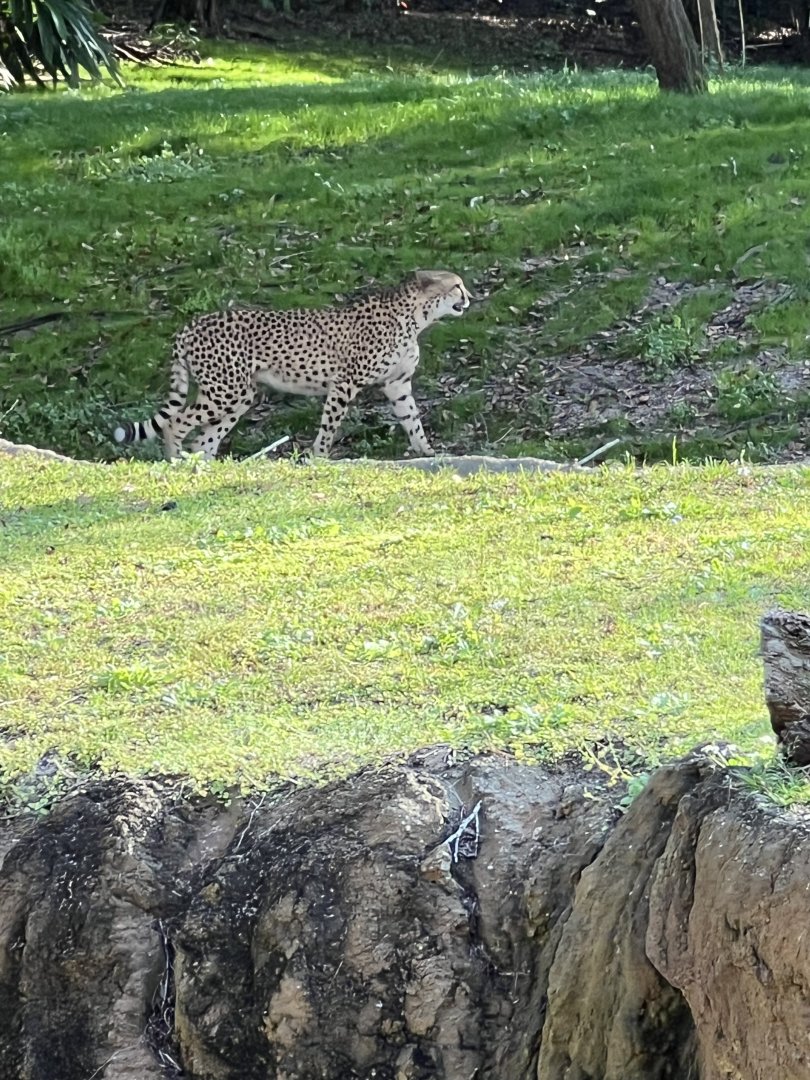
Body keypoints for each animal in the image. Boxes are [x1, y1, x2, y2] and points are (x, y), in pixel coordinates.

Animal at [113, 269, 473, 461]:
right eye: (457, 286)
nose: (470, 298)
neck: (415, 317)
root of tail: (191, 324)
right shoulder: (345, 383)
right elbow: (329, 424)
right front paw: (319, 457)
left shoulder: (397, 384)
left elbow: (412, 420)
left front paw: (427, 451)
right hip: (224, 390)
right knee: (176, 423)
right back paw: (177, 462)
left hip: (238, 395)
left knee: (204, 438)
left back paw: (206, 468)